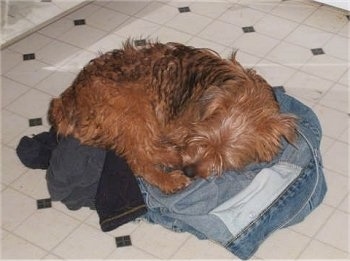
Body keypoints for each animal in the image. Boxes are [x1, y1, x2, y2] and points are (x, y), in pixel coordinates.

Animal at [47, 39, 296, 193]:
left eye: (224, 159)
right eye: (201, 139)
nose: (189, 171)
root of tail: (67, 100)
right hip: (134, 108)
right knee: (139, 159)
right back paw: (168, 179)